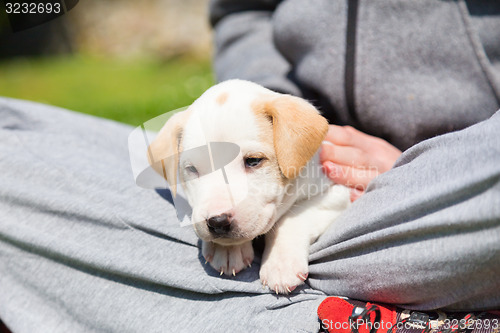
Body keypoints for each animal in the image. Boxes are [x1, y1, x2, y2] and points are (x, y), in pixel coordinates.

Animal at [146, 80, 350, 294]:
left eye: (253, 161)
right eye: (192, 169)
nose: (218, 222)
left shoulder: (335, 193)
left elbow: (292, 218)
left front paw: (280, 264)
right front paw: (227, 249)